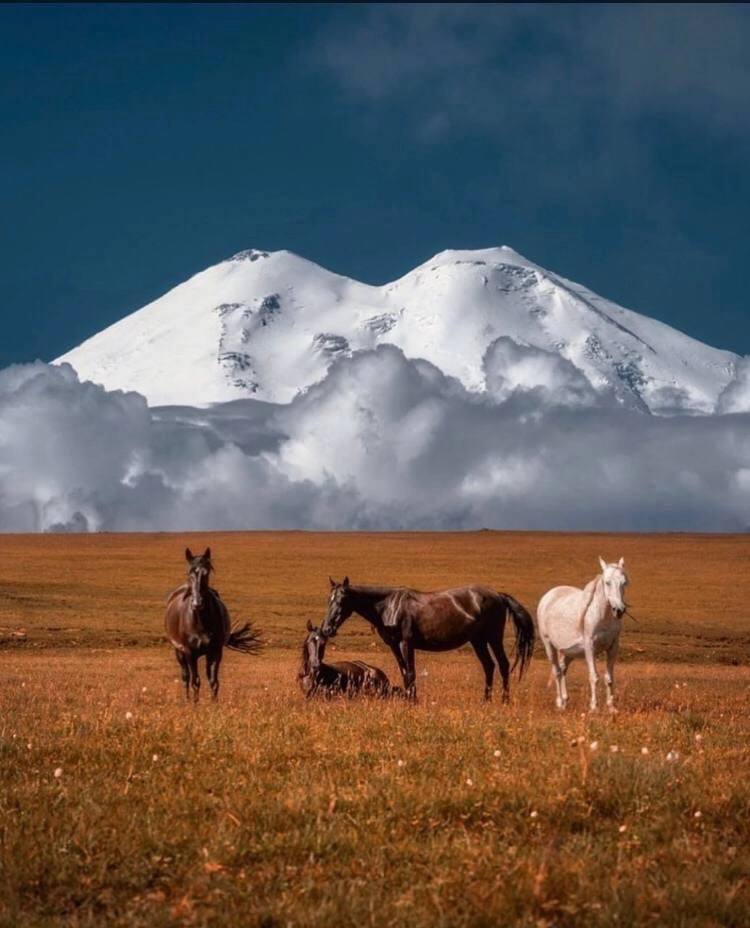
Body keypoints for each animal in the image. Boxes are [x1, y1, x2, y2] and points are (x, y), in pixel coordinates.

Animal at [164, 548, 262, 700]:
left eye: (207, 573)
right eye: (189, 573)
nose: (197, 603)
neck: (200, 623)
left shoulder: (215, 651)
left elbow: (213, 681)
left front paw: (214, 703)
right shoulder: (189, 652)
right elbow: (195, 681)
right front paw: (195, 704)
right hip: (179, 651)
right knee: (185, 676)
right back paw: (187, 700)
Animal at [320, 576, 536, 700]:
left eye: (342, 600)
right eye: (329, 600)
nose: (327, 628)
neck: (389, 606)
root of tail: (498, 595)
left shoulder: (406, 644)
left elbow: (410, 673)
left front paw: (413, 701)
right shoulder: (394, 646)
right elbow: (404, 673)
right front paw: (409, 699)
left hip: (493, 638)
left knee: (503, 665)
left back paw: (504, 700)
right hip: (478, 641)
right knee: (489, 666)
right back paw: (486, 700)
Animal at [536, 560, 632, 712]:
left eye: (624, 583)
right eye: (607, 582)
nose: (619, 610)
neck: (603, 617)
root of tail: (548, 596)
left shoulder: (613, 647)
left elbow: (609, 678)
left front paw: (611, 707)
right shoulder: (589, 647)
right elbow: (594, 677)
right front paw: (594, 707)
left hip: (569, 652)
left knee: (563, 669)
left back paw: (565, 701)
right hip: (549, 646)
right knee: (557, 671)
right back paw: (559, 702)